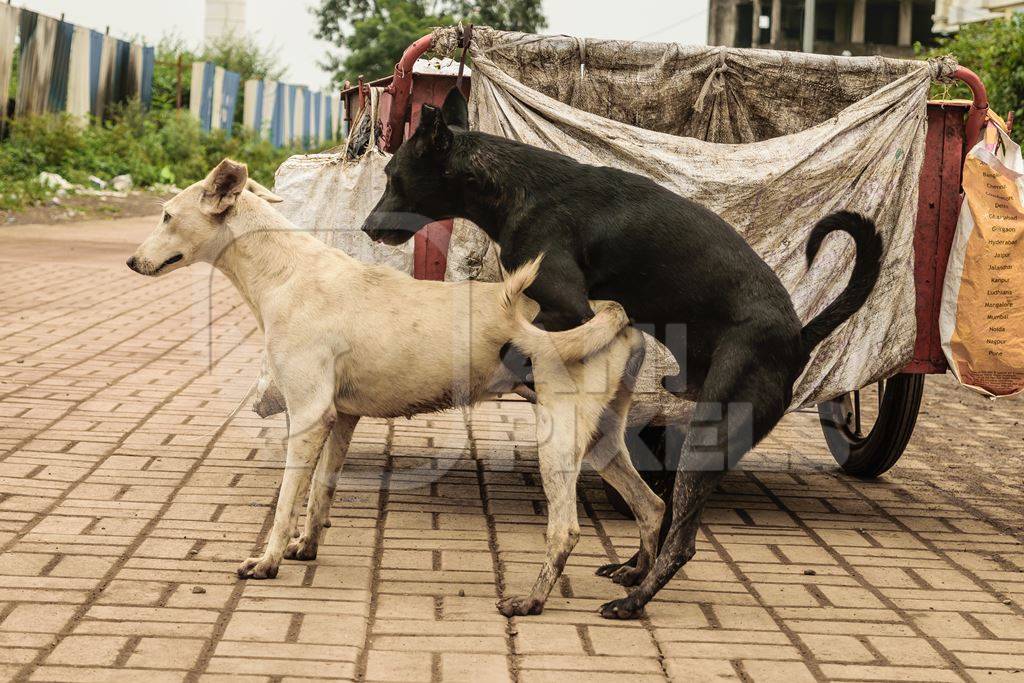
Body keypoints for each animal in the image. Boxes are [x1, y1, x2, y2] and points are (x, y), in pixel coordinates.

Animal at [128, 161, 663, 618]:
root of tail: (611, 309)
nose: (132, 262)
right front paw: (307, 546)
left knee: (566, 530)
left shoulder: (307, 415)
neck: (286, 271)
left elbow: (285, 501)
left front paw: (268, 560)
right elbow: (321, 490)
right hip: (602, 440)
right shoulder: (340, 418)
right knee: (653, 507)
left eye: (167, 215)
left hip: (559, 438)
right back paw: (636, 582)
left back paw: (532, 600)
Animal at [364, 89, 884, 618]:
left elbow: (519, 341)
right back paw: (632, 567)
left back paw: (634, 600)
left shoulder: (569, 307)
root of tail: (798, 336)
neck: (517, 188)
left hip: (710, 435)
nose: (366, 226)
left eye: (392, 176)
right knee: (657, 511)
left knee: (681, 539)